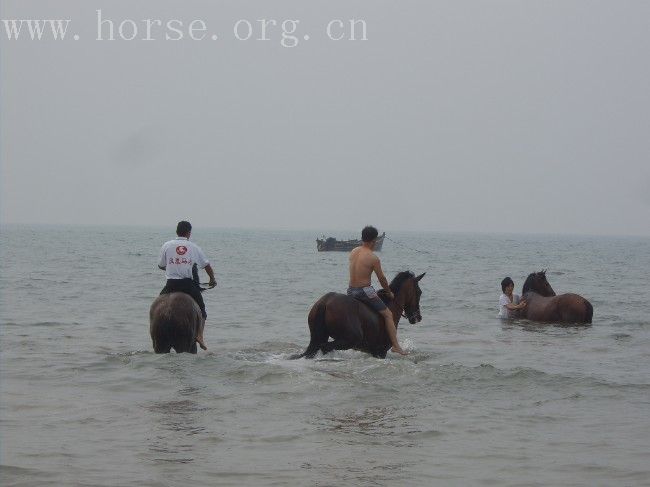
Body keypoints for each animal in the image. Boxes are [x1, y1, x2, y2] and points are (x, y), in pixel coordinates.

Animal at [290, 272, 422, 360]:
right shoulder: (380, 352)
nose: (418, 317)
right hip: (350, 339)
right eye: (419, 292)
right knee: (324, 347)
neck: (391, 306)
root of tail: (325, 301)